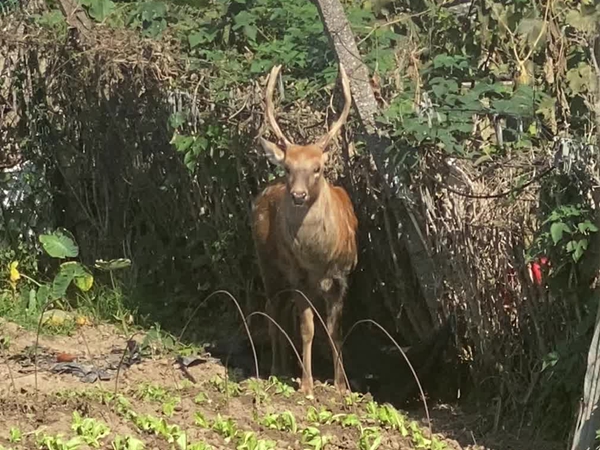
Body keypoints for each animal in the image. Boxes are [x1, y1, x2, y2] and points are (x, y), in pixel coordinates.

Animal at [252, 62, 358, 394]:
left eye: (317, 168)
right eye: (288, 167)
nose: (298, 195)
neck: (318, 258)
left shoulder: (342, 277)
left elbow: (335, 332)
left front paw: (341, 385)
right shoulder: (299, 276)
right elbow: (308, 329)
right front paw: (308, 385)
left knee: (282, 312)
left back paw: (287, 367)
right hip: (267, 263)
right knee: (273, 310)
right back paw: (277, 368)